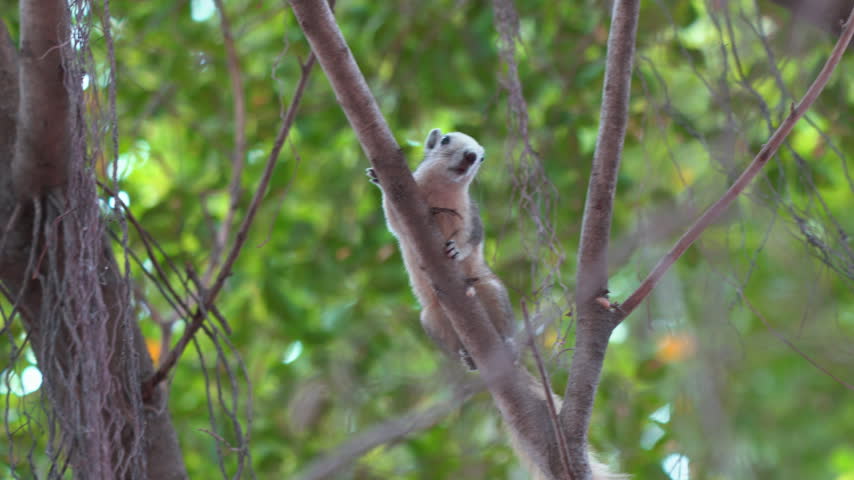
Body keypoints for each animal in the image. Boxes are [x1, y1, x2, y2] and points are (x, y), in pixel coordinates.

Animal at [366, 128, 515, 369]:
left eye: (482, 158)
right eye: (445, 140)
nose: (471, 155)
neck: (441, 188)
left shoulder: (471, 215)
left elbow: (471, 238)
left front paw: (457, 249)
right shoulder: (400, 218)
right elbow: (392, 220)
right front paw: (378, 178)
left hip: (492, 291)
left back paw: (508, 345)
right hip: (433, 320)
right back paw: (467, 358)